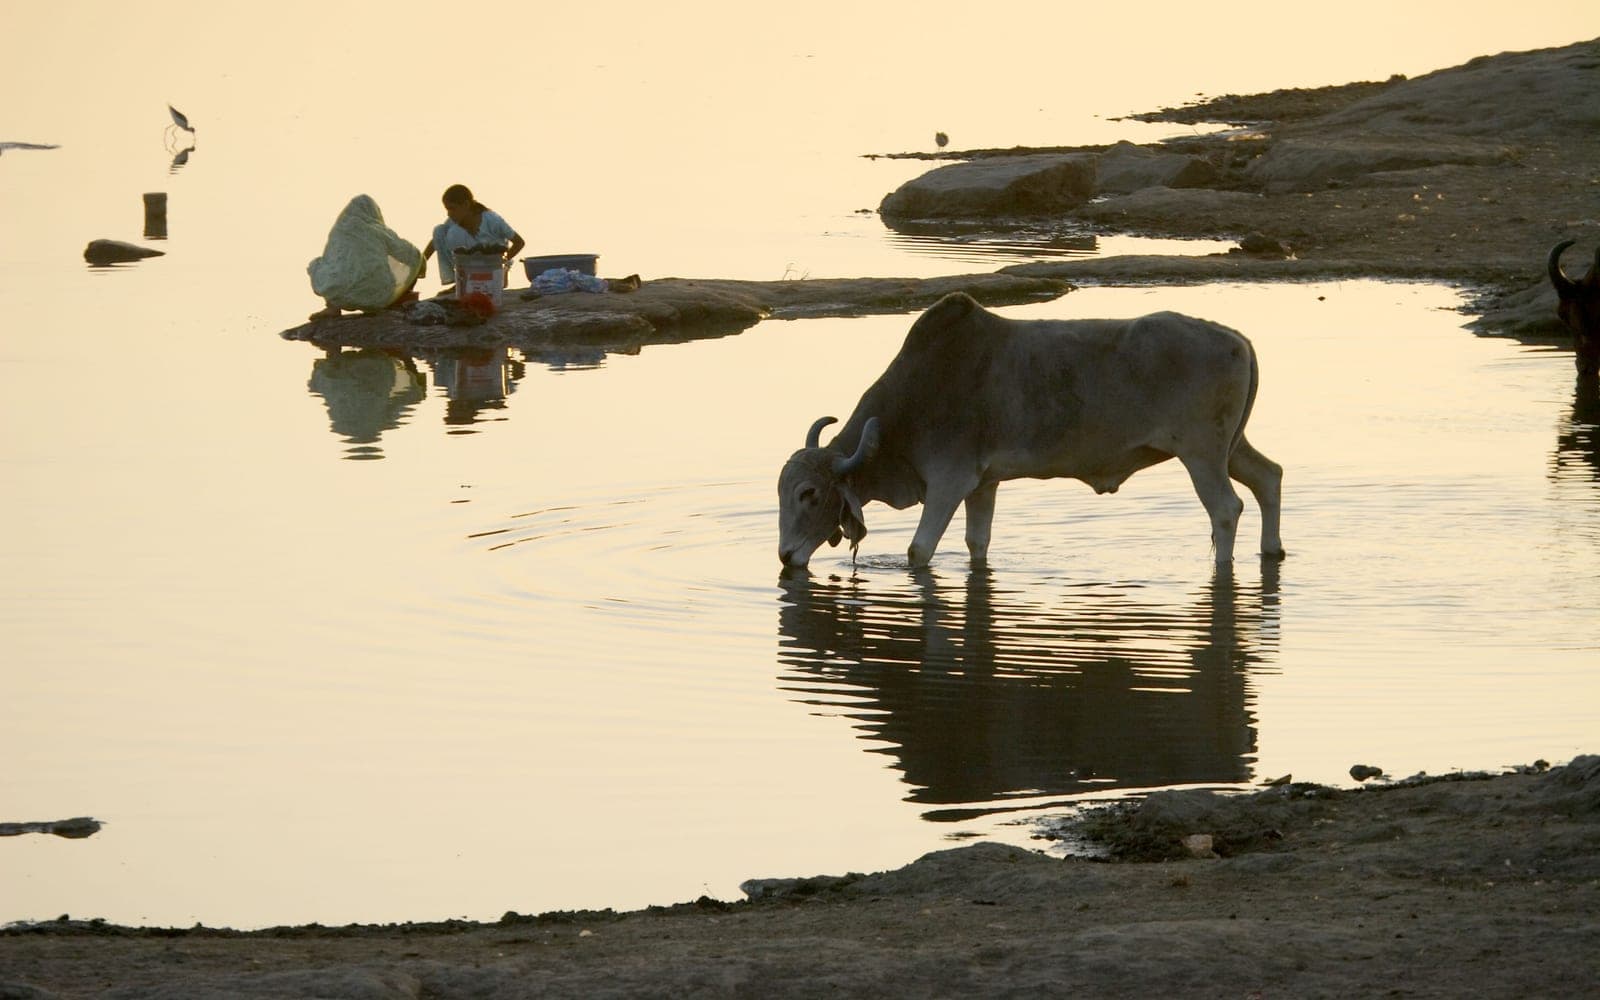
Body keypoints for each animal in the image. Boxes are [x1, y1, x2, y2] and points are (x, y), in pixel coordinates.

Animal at [777, 293, 1284, 569]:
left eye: (809, 494)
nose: (784, 557)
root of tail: (1237, 339)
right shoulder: (983, 484)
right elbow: (976, 542)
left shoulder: (949, 480)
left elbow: (919, 550)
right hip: (1230, 448)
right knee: (1268, 478)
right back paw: (1272, 551)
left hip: (1202, 453)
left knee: (1226, 509)